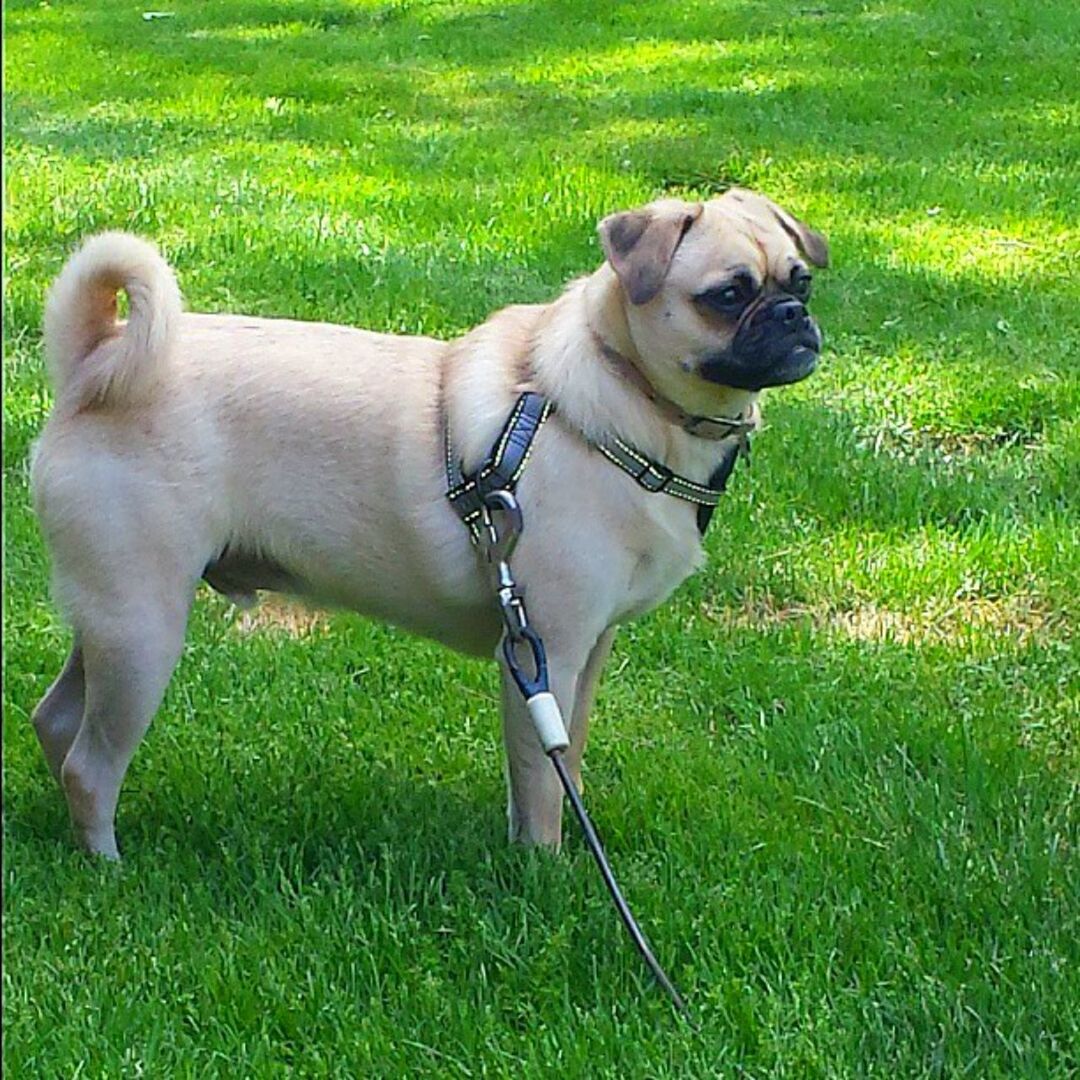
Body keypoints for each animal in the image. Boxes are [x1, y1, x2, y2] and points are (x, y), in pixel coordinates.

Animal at [31, 187, 825, 859]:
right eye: (728, 296)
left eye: (801, 280)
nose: (793, 316)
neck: (620, 394)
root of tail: (94, 363)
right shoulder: (545, 650)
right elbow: (540, 780)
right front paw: (545, 869)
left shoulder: (586, 653)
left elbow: (562, 754)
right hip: (144, 629)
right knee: (91, 765)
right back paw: (106, 864)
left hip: (115, 625)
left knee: (58, 720)